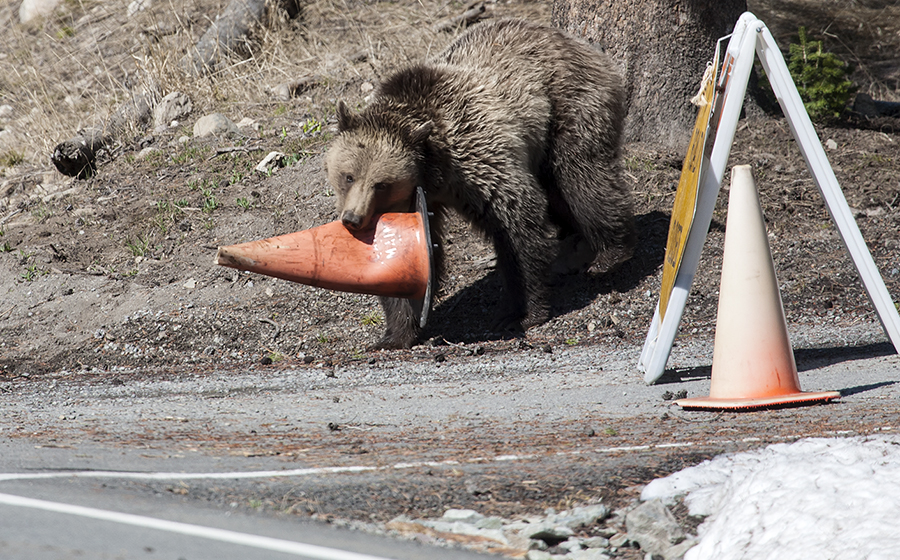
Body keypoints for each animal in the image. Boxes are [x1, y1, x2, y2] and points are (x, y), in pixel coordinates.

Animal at [324, 17, 632, 348]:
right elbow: (406, 257)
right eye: (348, 176)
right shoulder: (416, 200)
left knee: (582, 176)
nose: (353, 218)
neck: (433, 169)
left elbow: (517, 223)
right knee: (560, 193)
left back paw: (610, 252)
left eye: (381, 183)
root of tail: (579, 42)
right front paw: (395, 333)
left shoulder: (477, 157)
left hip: (570, 104)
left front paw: (518, 312)